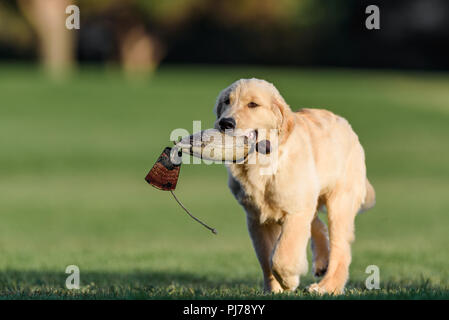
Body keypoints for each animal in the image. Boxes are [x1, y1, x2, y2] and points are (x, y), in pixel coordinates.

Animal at [214, 78, 374, 296]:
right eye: (227, 101)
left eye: (253, 104)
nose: (225, 123)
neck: (261, 161)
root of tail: (345, 124)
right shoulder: (257, 217)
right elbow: (266, 258)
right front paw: (274, 290)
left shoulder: (295, 211)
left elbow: (280, 256)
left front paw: (288, 281)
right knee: (318, 225)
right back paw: (322, 262)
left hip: (339, 202)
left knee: (340, 249)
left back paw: (327, 287)